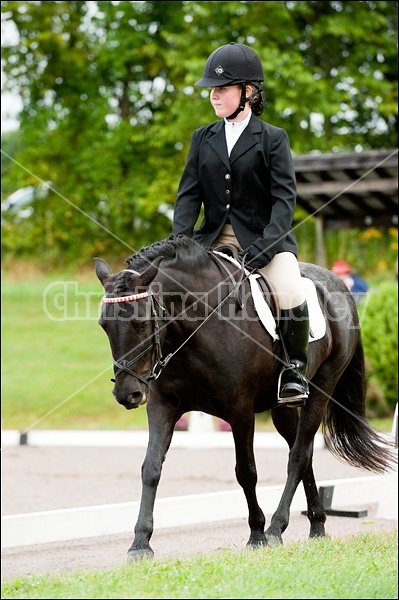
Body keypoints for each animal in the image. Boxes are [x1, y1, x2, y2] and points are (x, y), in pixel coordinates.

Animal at [94, 233, 396, 556]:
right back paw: (317, 525)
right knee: (303, 451)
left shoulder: (239, 408)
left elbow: (246, 471)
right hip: (282, 406)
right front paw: (140, 543)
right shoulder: (163, 405)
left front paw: (257, 534)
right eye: (104, 326)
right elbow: (150, 467)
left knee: (299, 455)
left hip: (323, 386)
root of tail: (337, 285)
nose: (127, 394)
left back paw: (276, 528)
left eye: (140, 324)